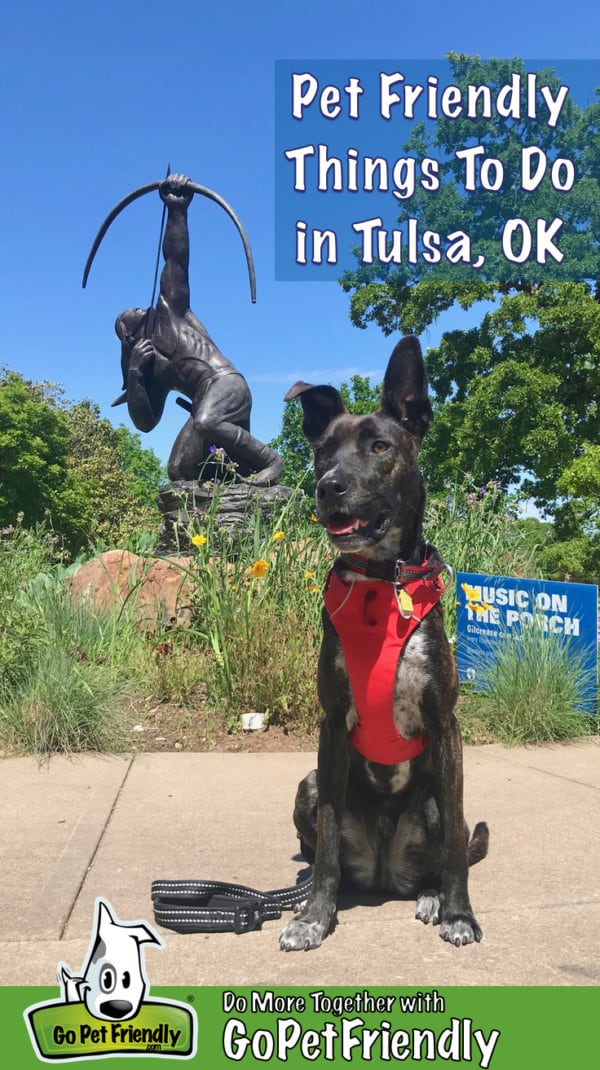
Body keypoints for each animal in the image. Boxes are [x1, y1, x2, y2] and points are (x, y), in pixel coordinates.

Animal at [278, 335, 483, 954]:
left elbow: (458, 847)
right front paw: (315, 917)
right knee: (325, 853)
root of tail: (386, 876)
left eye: (380, 446)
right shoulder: (330, 724)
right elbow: (325, 847)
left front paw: (460, 914)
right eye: (322, 452)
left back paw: (434, 897)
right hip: (311, 783)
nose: (329, 486)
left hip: (435, 803)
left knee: (445, 849)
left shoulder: (445, 723)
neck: (380, 583)